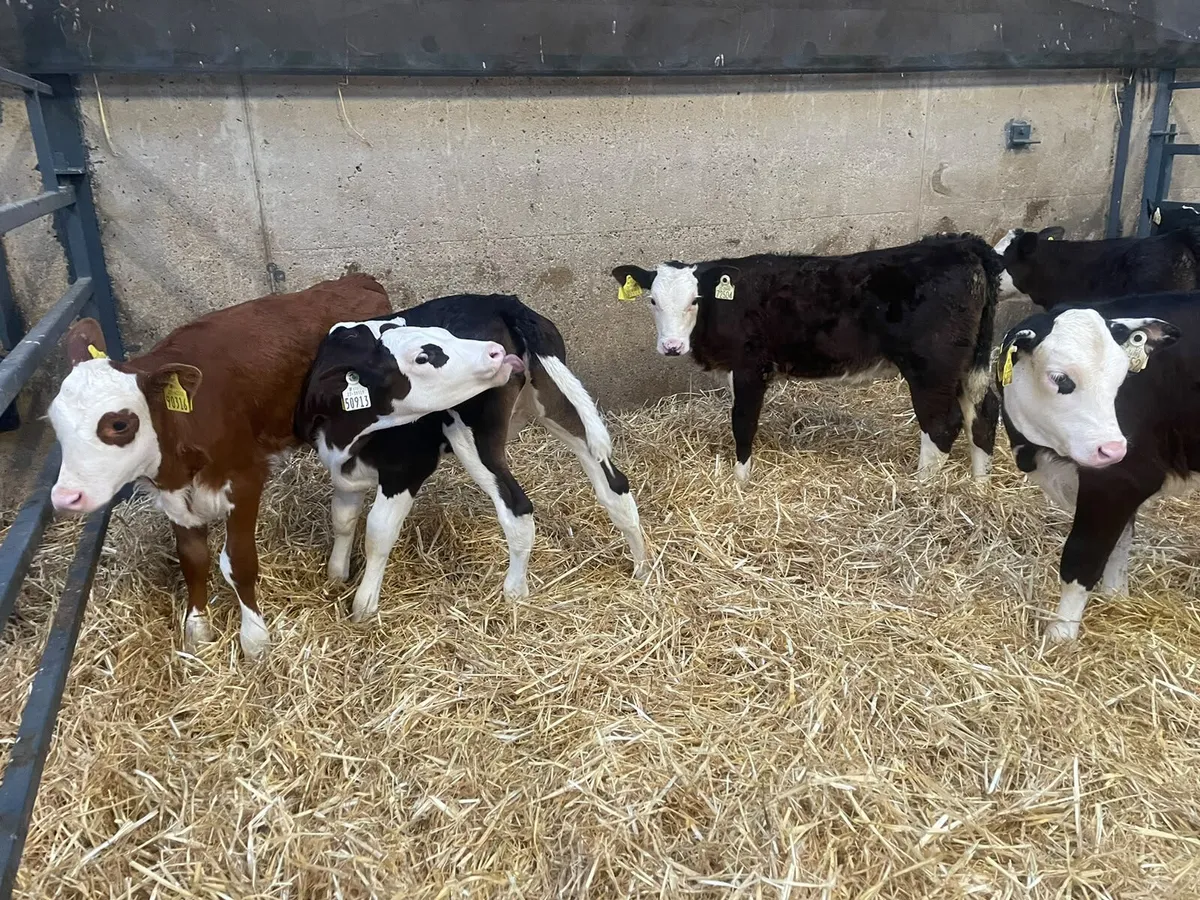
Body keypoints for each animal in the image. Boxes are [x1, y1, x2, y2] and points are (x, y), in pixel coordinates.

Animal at [47, 275, 521, 658]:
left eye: (119, 423)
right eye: (54, 421)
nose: (66, 496)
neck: (184, 425)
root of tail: (356, 279)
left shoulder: (244, 480)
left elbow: (238, 562)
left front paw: (254, 639)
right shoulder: (174, 495)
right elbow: (193, 559)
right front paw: (197, 628)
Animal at [294, 293, 648, 623]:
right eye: (424, 355)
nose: (494, 352)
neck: (346, 433)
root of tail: (502, 302)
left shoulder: (408, 467)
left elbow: (378, 532)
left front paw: (363, 606)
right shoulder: (342, 468)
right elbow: (342, 518)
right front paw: (336, 575)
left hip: (474, 433)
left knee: (517, 508)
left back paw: (514, 594)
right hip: (554, 400)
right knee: (614, 485)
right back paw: (641, 567)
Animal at [611, 234, 1004, 484]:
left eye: (695, 300)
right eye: (652, 301)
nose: (672, 346)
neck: (726, 304)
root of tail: (962, 243)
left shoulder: (751, 367)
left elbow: (743, 423)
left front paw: (740, 483)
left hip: (931, 368)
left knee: (942, 424)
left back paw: (921, 488)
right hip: (967, 364)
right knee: (983, 411)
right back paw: (978, 484)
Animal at [996, 294, 1193, 640]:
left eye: (1121, 379)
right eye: (1060, 378)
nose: (1113, 449)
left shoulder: (1121, 480)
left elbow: (1083, 556)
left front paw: (1061, 633)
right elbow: (1120, 545)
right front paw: (1117, 598)